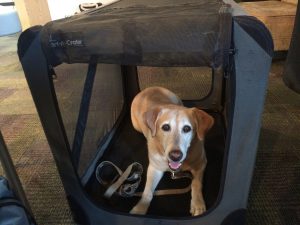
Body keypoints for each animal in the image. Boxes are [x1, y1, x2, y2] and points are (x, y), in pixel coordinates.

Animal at [129, 86, 213, 216]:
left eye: (187, 128)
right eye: (166, 127)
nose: (175, 156)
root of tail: (149, 88)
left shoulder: (201, 163)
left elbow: (196, 183)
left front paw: (198, 204)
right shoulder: (154, 168)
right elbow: (148, 192)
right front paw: (140, 208)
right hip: (136, 125)